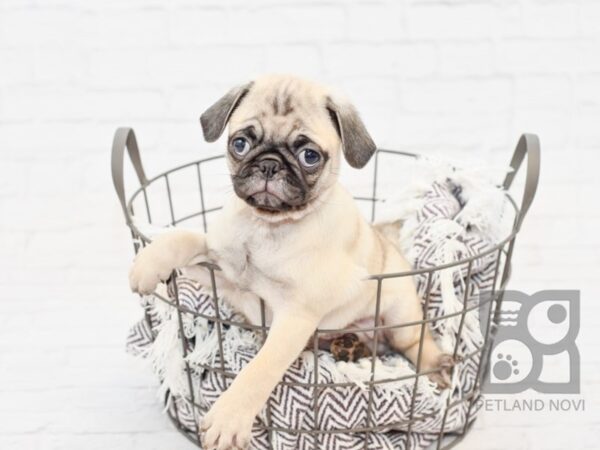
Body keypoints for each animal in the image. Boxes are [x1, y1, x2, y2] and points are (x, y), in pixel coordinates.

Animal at [127, 75, 454, 450]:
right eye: (240, 144)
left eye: (309, 155)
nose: (269, 164)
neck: (268, 226)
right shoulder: (224, 272)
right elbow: (185, 238)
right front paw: (150, 260)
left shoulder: (295, 316)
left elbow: (260, 369)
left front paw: (228, 417)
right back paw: (348, 345)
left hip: (399, 310)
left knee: (414, 341)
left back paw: (436, 365)